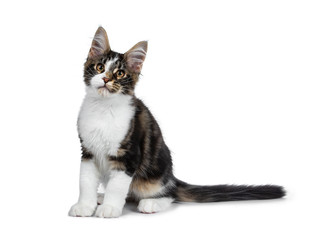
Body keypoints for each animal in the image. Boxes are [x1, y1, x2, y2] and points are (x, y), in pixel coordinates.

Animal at [68, 26, 284, 218]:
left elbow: (117, 186)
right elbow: (85, 182)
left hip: (154, 174)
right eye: (100, 67)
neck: (103, 108)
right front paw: (85, 206)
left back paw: (150, 203)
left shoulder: (128, 155)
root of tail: (171, 178)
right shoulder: (88, 151)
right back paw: (100, 197)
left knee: (168, 195)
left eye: (120, 73)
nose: (105, 79)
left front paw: (110, 208)